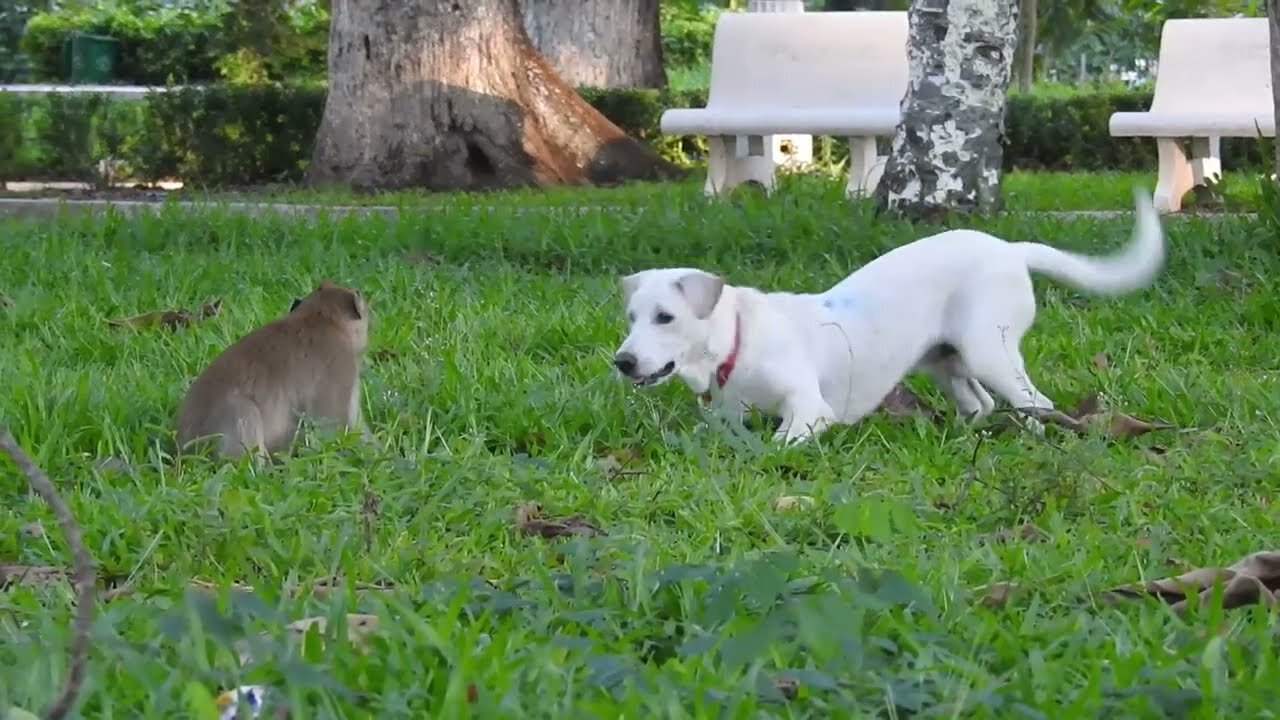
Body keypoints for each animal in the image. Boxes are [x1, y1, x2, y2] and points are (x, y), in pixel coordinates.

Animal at [614, 188, 1167, 440]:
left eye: (665, 317)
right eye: (631, 318)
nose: (621, 362)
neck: (737, 341)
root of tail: (1010, 249)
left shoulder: (811, 409)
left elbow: (782, 439)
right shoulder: (726, 418)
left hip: (987, 349)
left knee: (1034, 401)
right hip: (945, 359)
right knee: (979, 403)